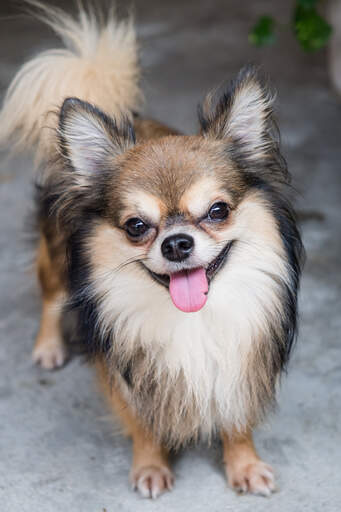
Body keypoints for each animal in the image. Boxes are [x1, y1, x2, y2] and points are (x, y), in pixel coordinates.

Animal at [0, 1, 302, 500]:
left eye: (218, 211)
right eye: (136, 226)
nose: (177, 242)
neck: (194, 320)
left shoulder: (239, 362)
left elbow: (236, 417)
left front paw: (243, 464)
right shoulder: (125, 370)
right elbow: (141, 422)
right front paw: (150, 466)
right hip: (57, 256)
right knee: (50, 294)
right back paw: (48, 346)